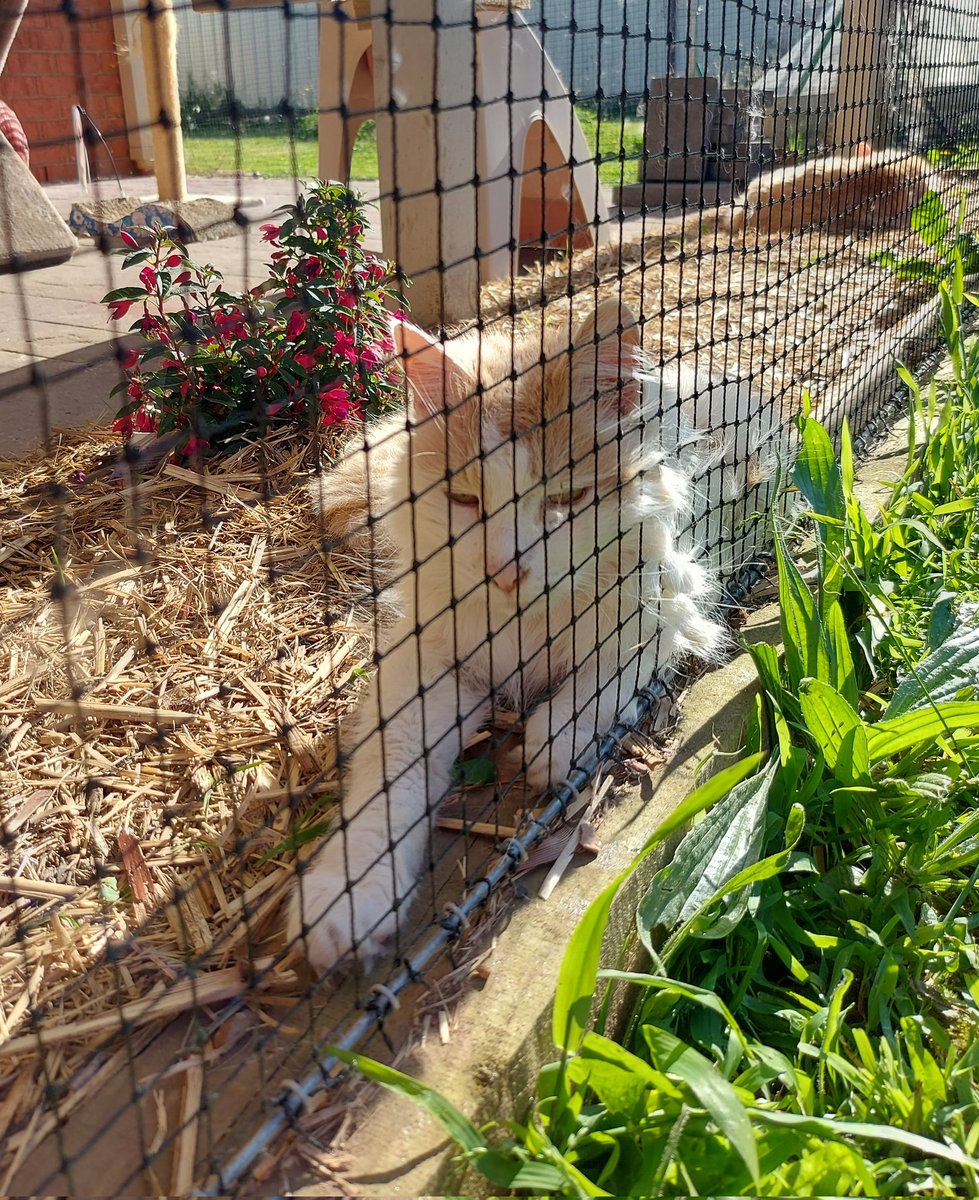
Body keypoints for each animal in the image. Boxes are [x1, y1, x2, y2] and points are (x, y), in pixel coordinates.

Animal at [290, 300, 748, 974]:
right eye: (464, 500)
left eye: (565, 497)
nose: (506, 571)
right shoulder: (423, 672)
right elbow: (389, 783)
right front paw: (350, 902)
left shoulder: (657, 623)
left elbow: (584, 697)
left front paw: (550, 748)